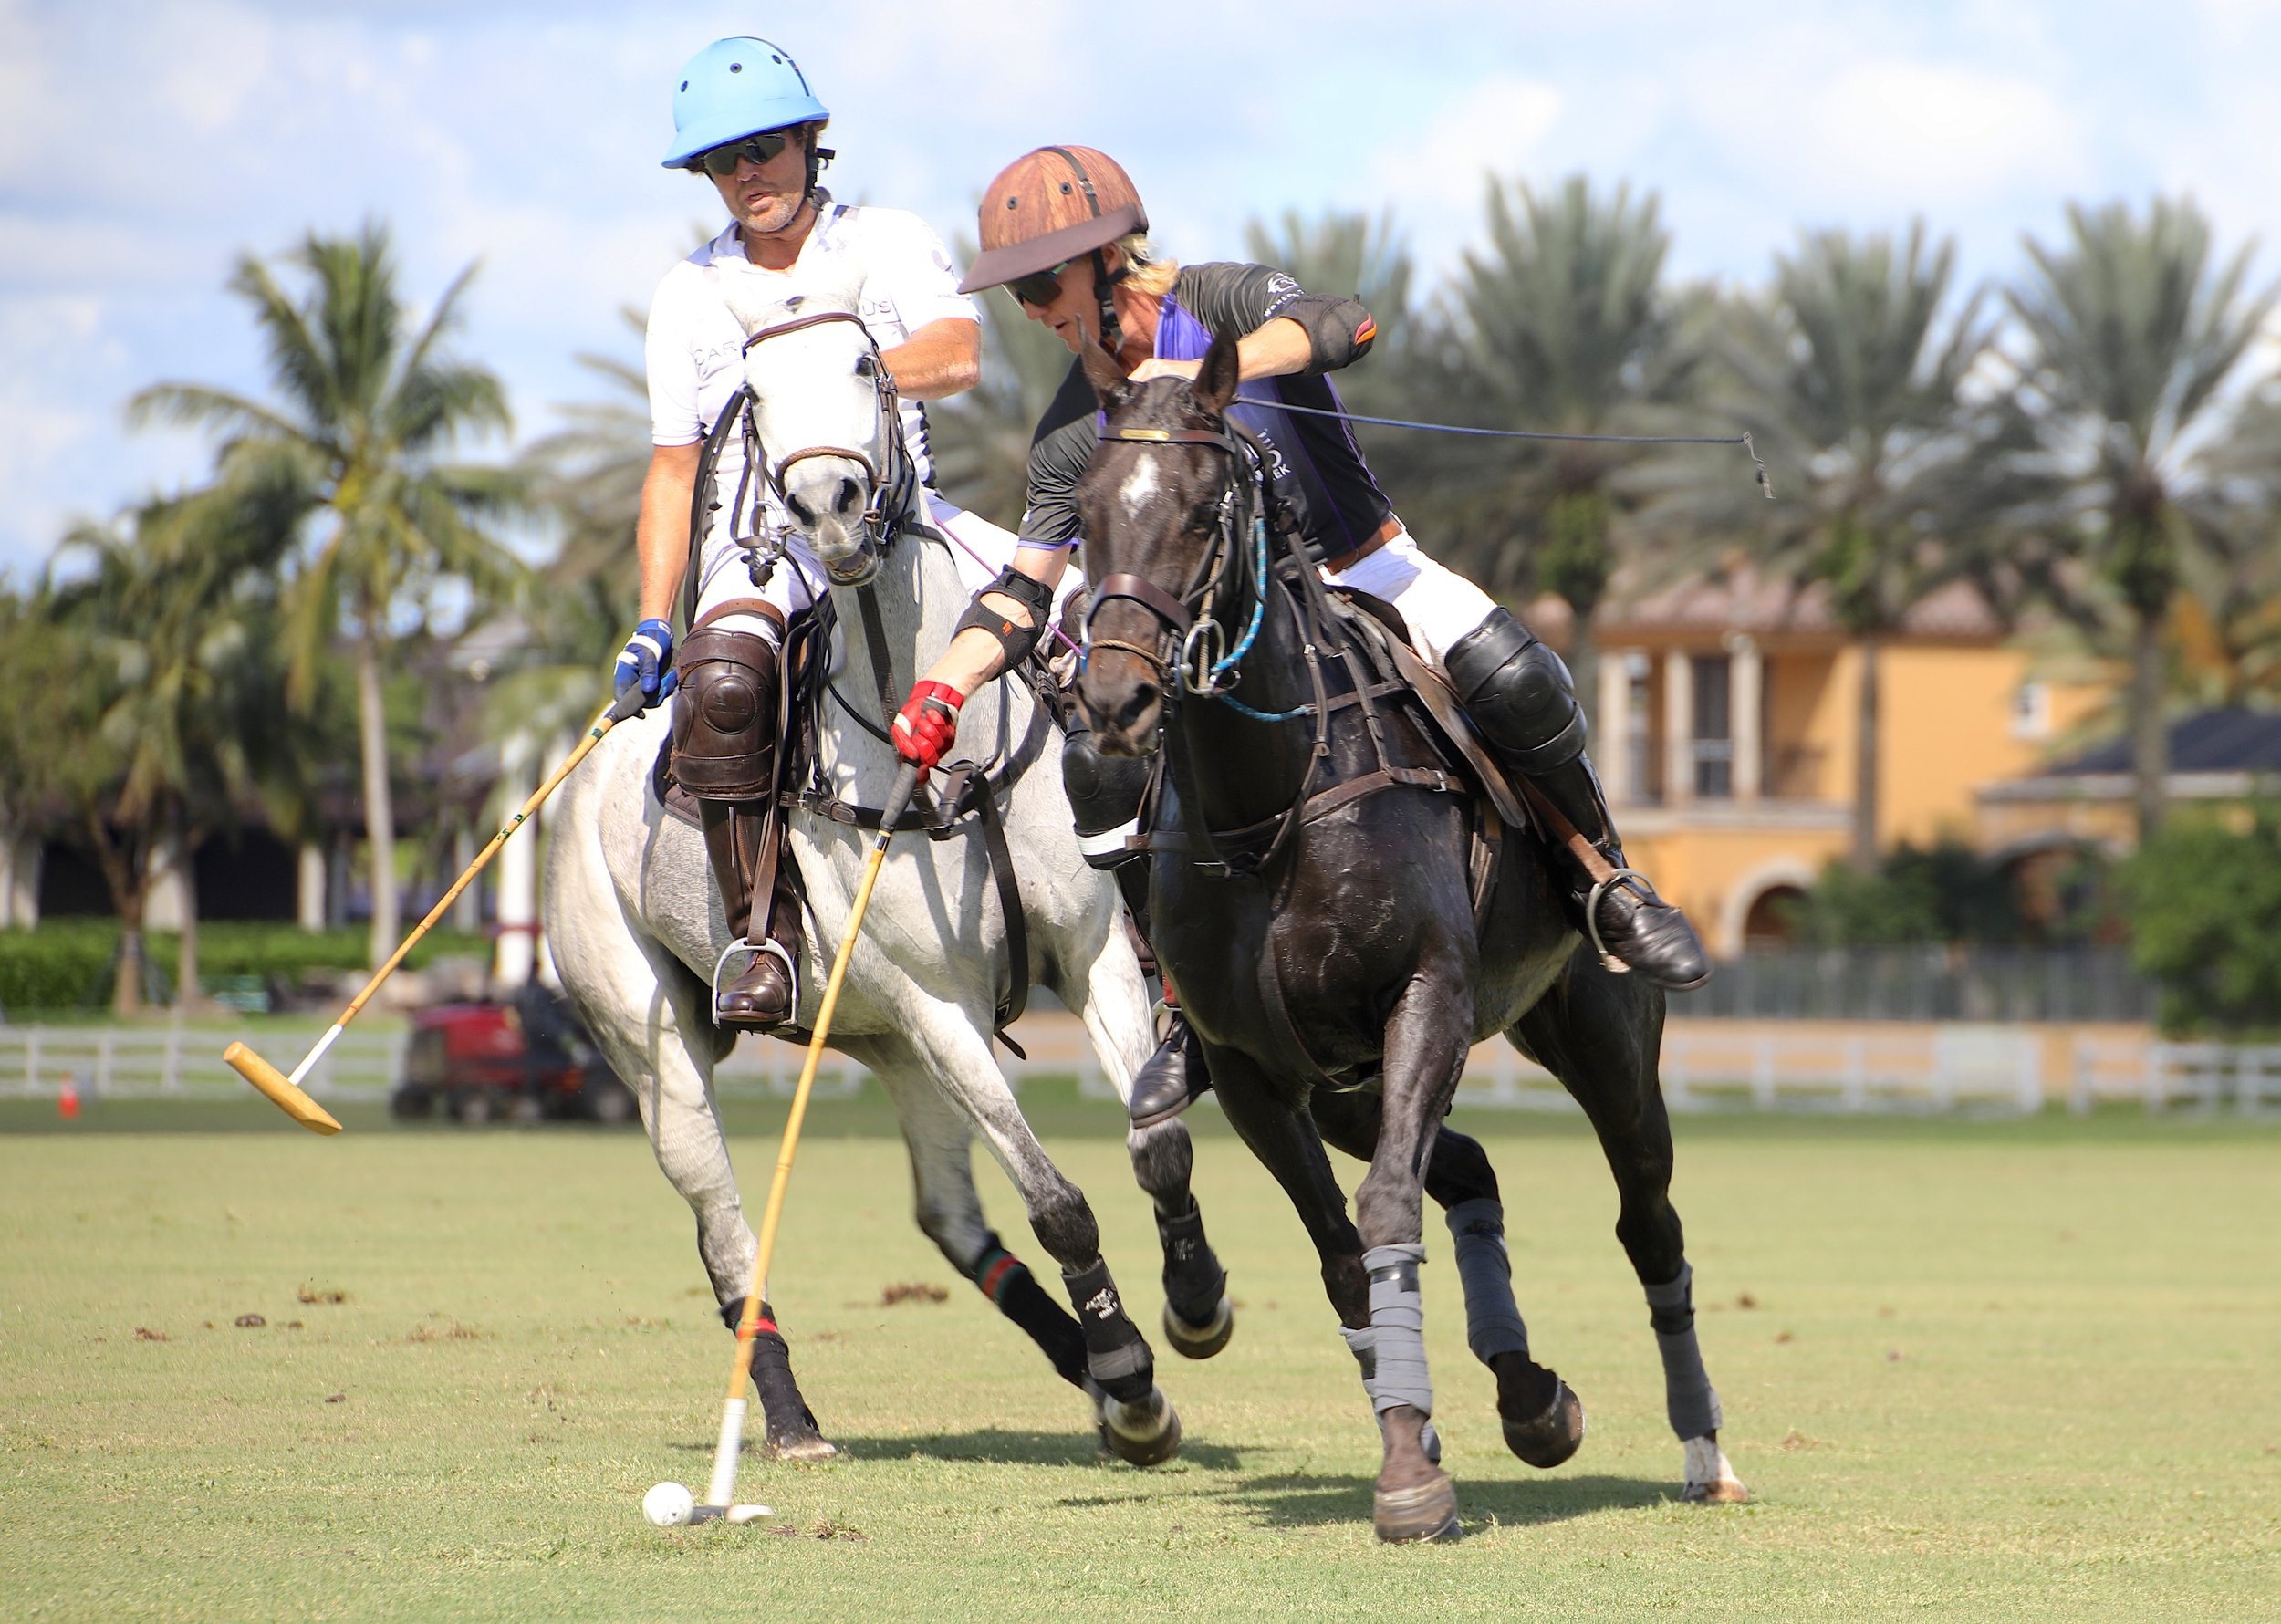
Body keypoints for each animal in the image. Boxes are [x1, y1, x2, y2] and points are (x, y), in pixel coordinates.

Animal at [543, 285, 1232, 1469]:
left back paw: (1093, 1381)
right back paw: (788, 1418)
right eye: (753, 389)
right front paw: (1134, 1373)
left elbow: (1158, 1143)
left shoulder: (1091, 955)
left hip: (885, 1039)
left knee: (949, 1216)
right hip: (657, 1045)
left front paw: (1188, 1312)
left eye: (868, 364)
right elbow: (1058, 1200)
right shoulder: (937, 1001)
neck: (942, 743)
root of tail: (577, 783)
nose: (827, 507)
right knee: (726, 1234)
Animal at [1068, 335, 1743, 1542]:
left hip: (1605, 1040)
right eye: (1088, 511)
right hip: (1344, 1081)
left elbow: (1384, 1208)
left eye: (1198, 510)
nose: (1111, 699)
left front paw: (1410, 1475)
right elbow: (1343, 1255)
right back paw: (1529, 1397)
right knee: (1467, 1165)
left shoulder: (1424, 994)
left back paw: (1701, 1447)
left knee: (1647, 1223)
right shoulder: (1252, 1067)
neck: (1268, 806)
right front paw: (1410, 1447)